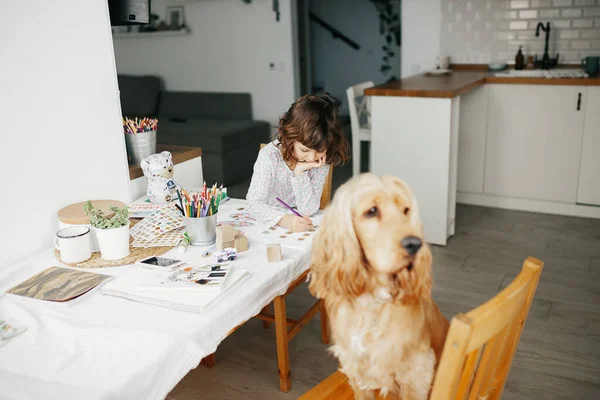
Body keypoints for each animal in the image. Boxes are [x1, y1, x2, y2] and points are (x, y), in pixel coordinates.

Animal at [312, 173, 448, 400]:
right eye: (372, 211)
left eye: (406, 210)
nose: (415, 244)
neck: (373, 302)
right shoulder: (356, 369)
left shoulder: (416, 374)